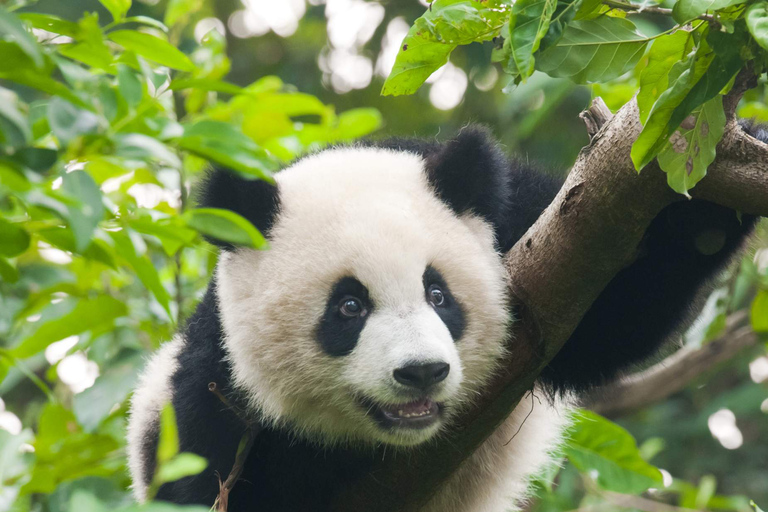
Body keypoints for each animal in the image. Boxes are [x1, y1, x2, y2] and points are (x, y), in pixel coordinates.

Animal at [126, 125, 759, 512]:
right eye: (349, 307)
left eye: (438, 294)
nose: (421, 372)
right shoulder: (213, 403)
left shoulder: (521, 222)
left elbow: (613, 315)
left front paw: (716, 185)